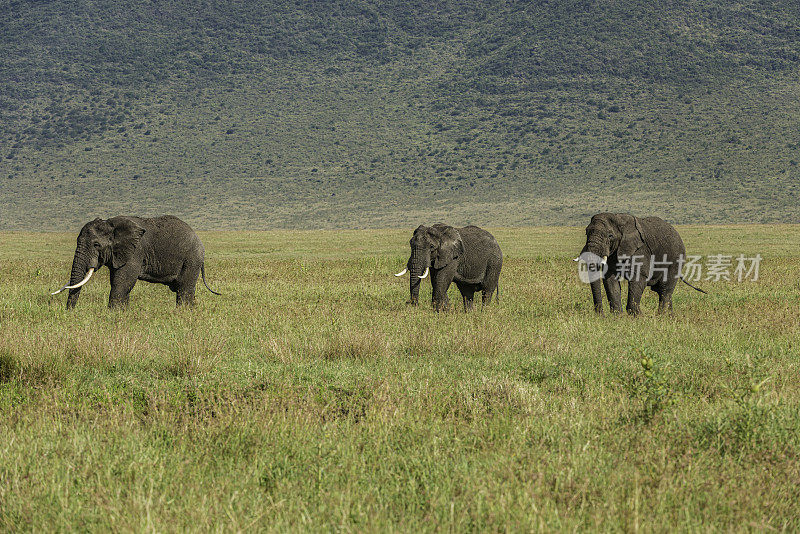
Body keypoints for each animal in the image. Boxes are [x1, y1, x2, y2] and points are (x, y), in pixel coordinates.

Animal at [51, 216, 220, 310]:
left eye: (96, 245)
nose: (69, 313)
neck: (111, 224)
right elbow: (119, 281)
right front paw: (123, 313)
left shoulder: (135, 252)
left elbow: (123, 282)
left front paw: (113, 314)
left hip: (191, 259)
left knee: (184, 289)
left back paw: (183, 313)